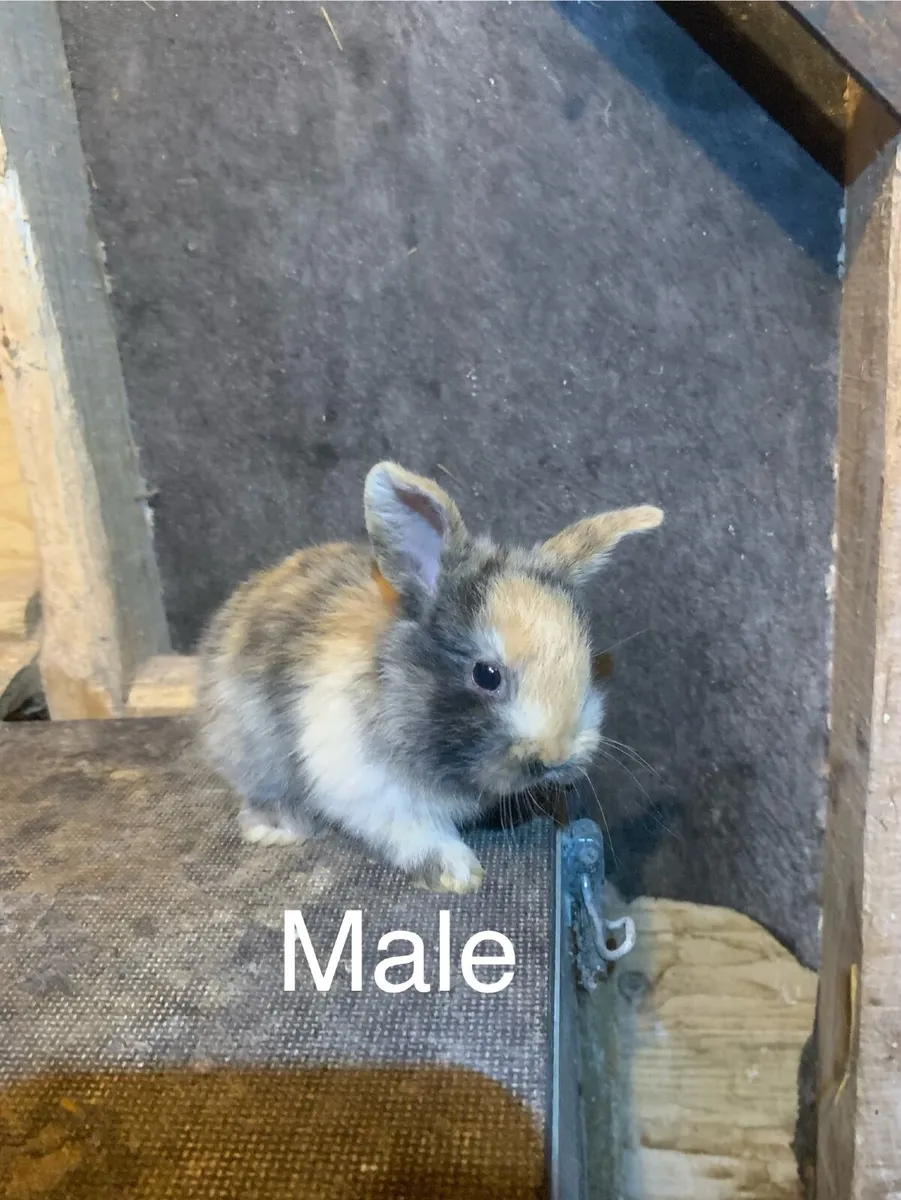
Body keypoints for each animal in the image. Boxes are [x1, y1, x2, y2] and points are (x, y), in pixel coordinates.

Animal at [195, 461, 663, 894]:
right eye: (486, 675)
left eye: (586, 665)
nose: (557, 755)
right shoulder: (368, 785)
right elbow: (418, 833)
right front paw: (458, 873)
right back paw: (279, 826)